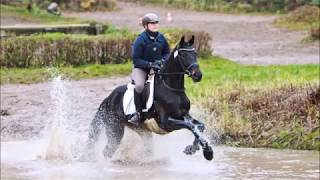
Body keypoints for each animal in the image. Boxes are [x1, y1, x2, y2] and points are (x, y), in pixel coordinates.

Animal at [86, 35, 214, 160]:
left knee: (146, 148)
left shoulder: (184, 115)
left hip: (141, 130)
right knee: (107, 151)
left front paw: (195, 148)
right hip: (115, 130)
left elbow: (199, 126)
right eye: (183, 55)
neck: (171, 89)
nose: (198, 75)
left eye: (195, 53)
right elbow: (191, 126)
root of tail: (108, 99)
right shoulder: (165, 123)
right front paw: (207, 152)